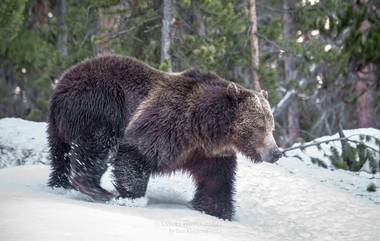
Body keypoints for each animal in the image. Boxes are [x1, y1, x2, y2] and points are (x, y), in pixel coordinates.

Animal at [47, 56, 280, 220]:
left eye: (272, 127)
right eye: (260, 127)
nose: (276, 152)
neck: (205, 129)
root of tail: (61, 83)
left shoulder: (209, 154)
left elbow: (216, 181)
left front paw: (218, 211)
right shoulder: (172, 121)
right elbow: (137, 151)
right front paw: (132, 198)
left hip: (59, 126)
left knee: (60, 155)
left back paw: (60, 184)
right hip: (102, 102)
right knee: (99, 143)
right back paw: (95, 188)